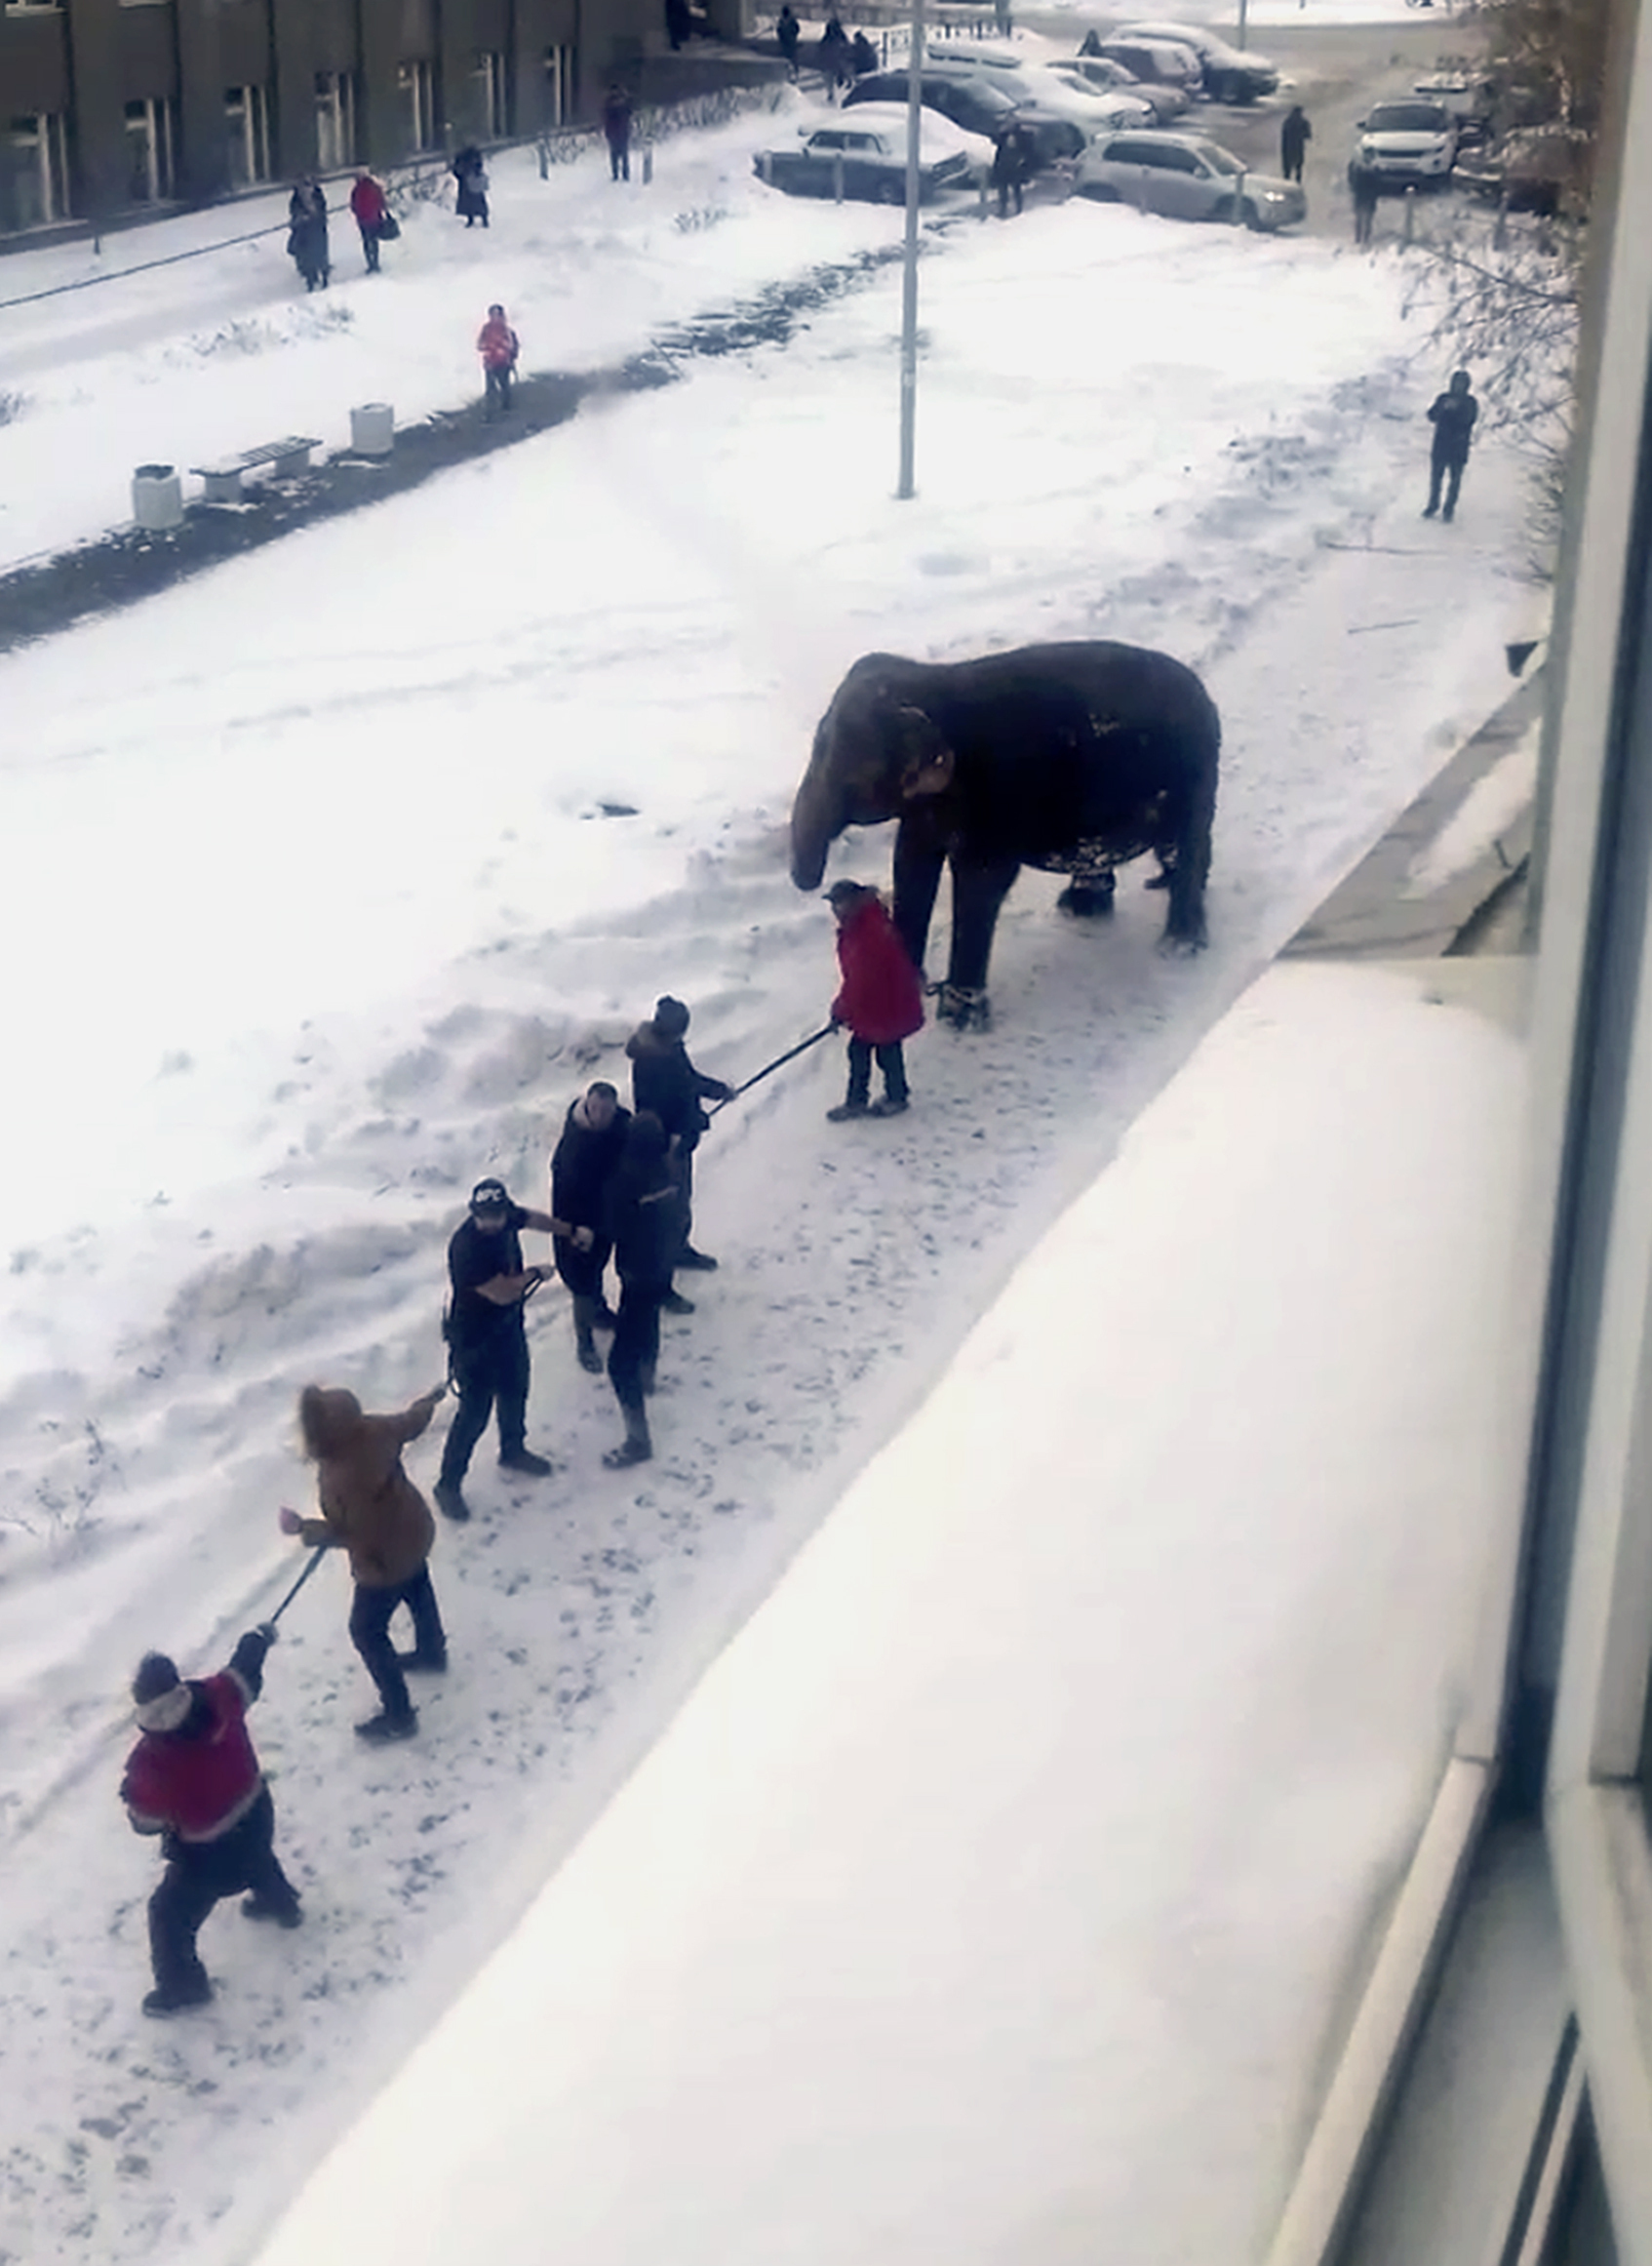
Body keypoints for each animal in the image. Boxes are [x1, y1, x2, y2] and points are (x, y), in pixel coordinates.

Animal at [793, 639, 1214, 1028]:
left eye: (849, 781)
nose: (822, 887)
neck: (929, 680)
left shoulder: (996, 795)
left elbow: (981, 881)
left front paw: (959, 1020)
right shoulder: (927, 807)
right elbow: (912, 862)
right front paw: (900, 990)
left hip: (1192, 771)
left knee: (1186, 844)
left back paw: (1178, 947)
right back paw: (1089, 907)